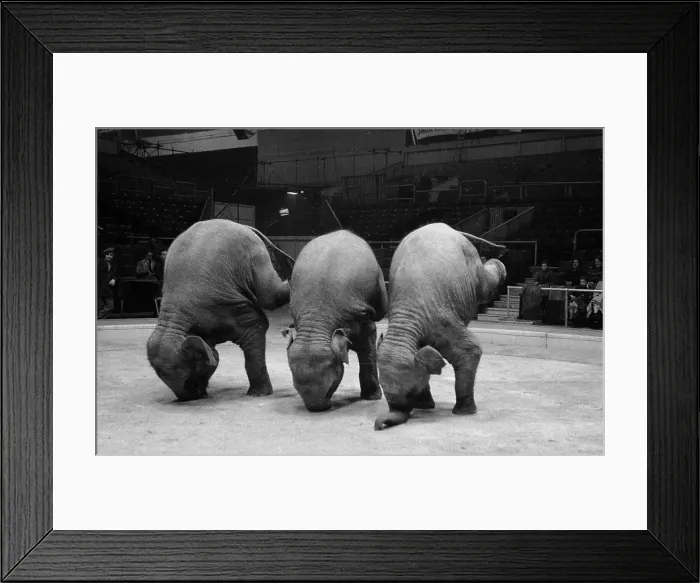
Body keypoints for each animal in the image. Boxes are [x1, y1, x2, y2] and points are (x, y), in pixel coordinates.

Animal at [146, 219, 295, 401]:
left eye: (187, 379)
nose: (192, 397)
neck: (174, 321)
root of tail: (240, 224)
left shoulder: (224, 308)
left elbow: (256, 327)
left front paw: (259, 394)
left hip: (254, 253)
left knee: (269, 295)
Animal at [281, 230, 387, 412]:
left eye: (330, 388)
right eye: (296, 389)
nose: (317, 408)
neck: (317, 316)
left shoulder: (359, 312)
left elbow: (368, 341)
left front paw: (372, 397)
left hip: (379, 282)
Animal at [374, 222, 507, 430]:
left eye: (410, 392)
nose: (379, 425)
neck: (405, 324)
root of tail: (449, 227)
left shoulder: (441, 323)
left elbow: (471, 349)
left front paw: (463, 413)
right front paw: (425, 406)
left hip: (471, 260)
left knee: (484, 287)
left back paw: (499, 259)